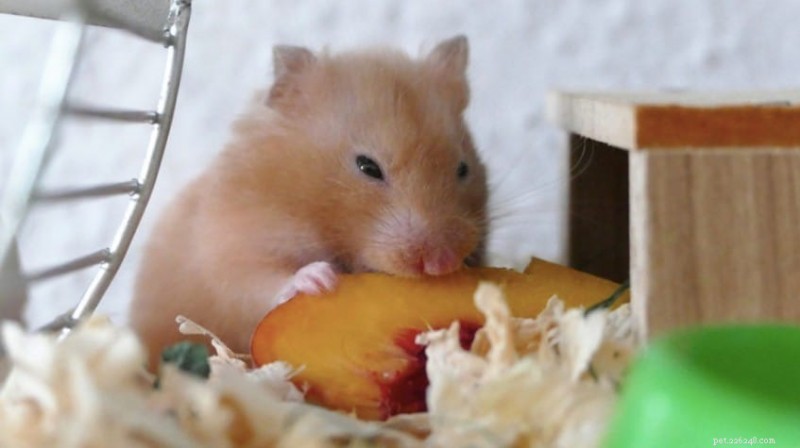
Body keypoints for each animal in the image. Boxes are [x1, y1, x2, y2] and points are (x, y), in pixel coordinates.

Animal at [129, 35, 489, 369]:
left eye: (463, 168)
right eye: (368, 167)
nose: (441, 262)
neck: (316, 213)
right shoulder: (230, 249)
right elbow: (255, 282)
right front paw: (320, 279)